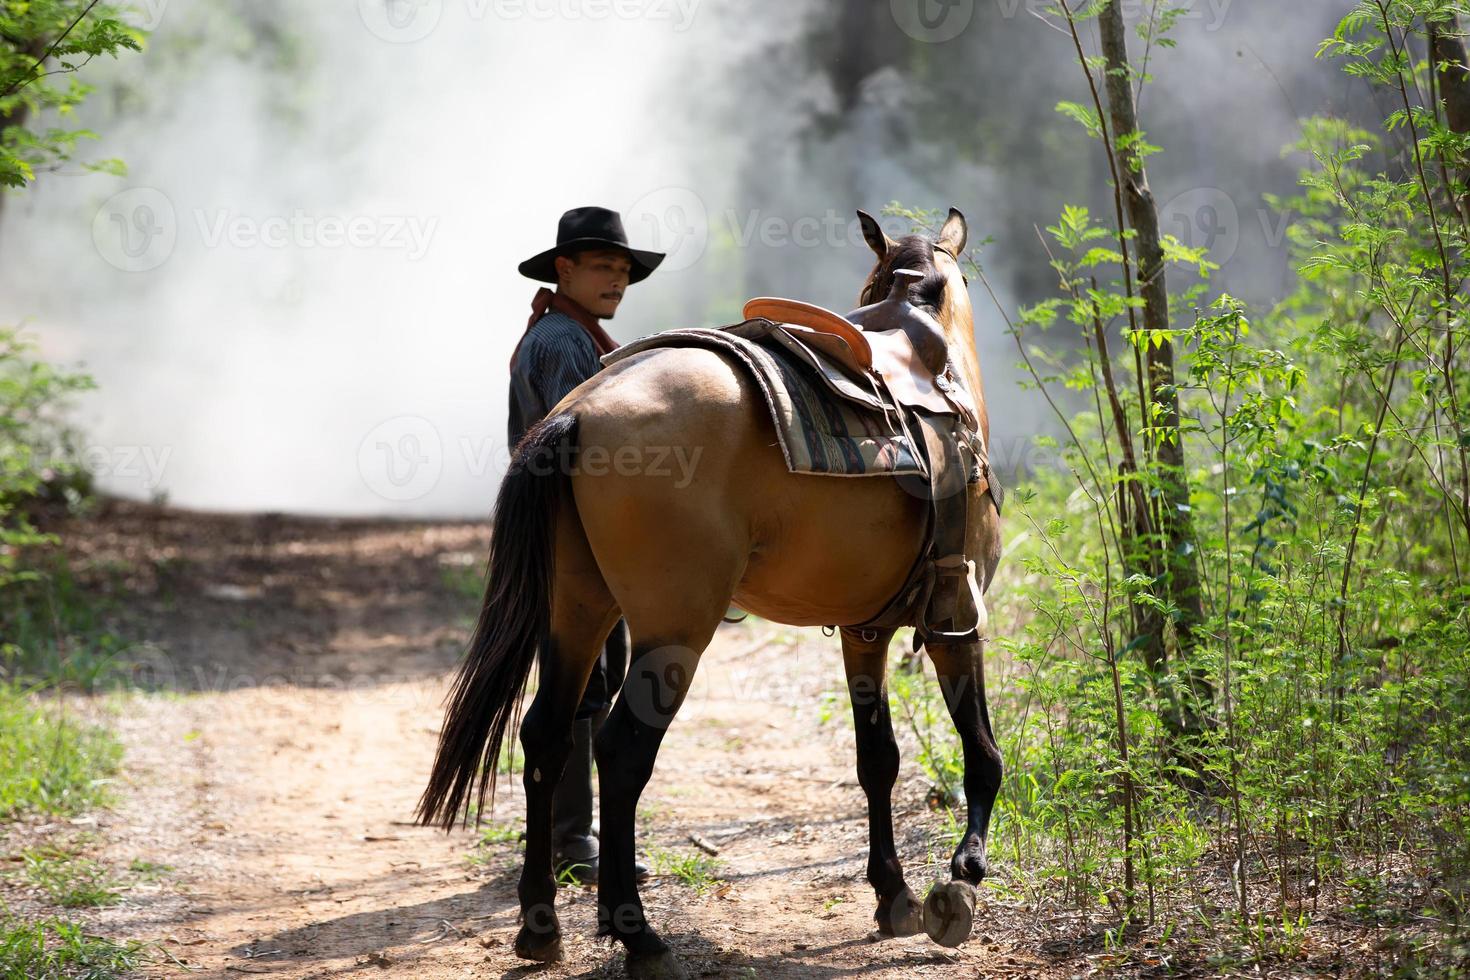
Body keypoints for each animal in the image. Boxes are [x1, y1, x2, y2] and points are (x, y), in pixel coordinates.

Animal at [420, 208, 1005, 980]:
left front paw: (895, 896)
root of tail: (579, 413)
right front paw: (961, 875)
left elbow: (876, 758)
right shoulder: (956, 619)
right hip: (674, 630)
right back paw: (638, 935)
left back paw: (540, 926)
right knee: (620, 752)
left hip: (576, 612)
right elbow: (982, 750)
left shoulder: (864, 630)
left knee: (546, 735)